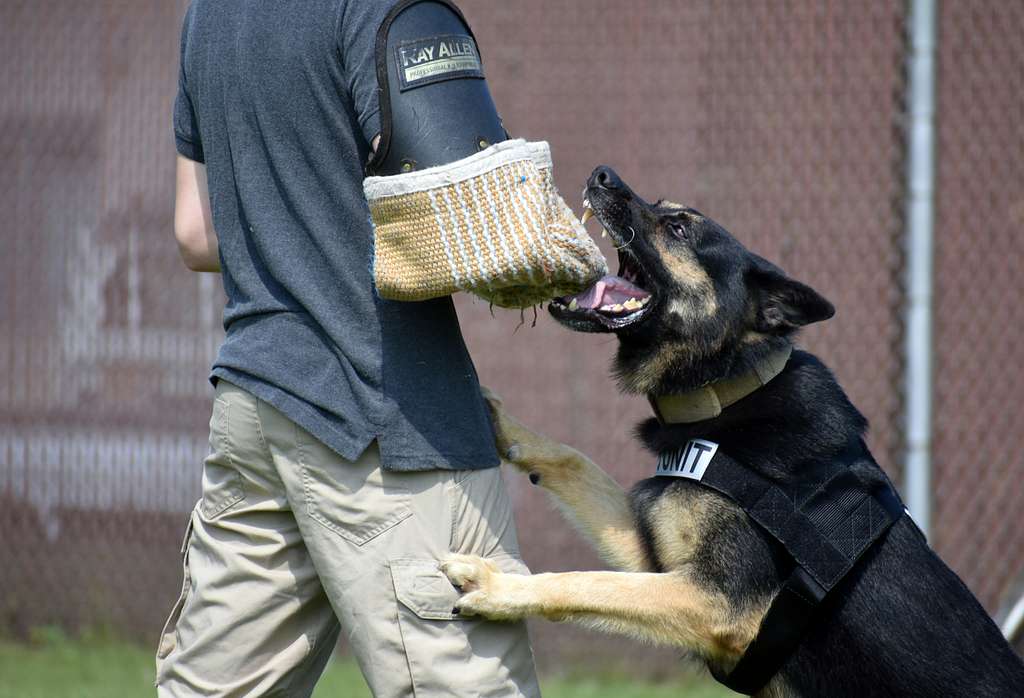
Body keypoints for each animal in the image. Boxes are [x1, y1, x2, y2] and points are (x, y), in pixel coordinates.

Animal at [444, 165, 1024, 691]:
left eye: (679, 227)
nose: (601, 173)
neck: (726, 391)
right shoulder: (653, 557)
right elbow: (573, 458)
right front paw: (500, 420)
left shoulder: (715, 604)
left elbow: (586, 583)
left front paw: (499, 586)